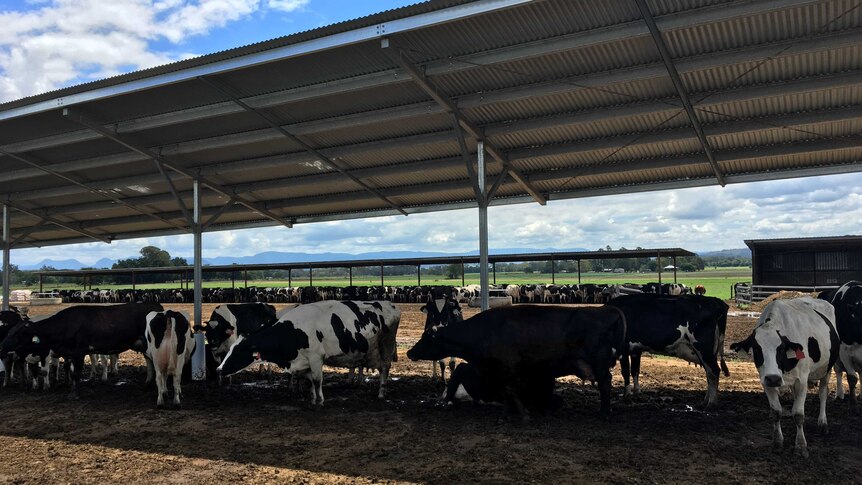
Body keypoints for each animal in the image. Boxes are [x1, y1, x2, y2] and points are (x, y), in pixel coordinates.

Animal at [0, 302, 162, 394]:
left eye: (19, 334)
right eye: (10, 331)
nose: (2, 345)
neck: (65, 325)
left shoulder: (78, 353)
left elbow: (76, 373)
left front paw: (74, 393)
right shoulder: (69, 354)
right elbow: (71, 372)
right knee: (150, 362)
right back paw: (148, 383)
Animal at [219, 300, 402, 402]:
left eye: (238, 352)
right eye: (230, 350)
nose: (219, 369)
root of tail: (389, 304)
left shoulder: (315, 358)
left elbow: (316, 380)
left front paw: (320, 401)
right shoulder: (304, 360)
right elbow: (308, 381)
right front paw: (313, 398)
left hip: (386, 347)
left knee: (384, 369)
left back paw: (381, 393)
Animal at [404, 304, 628, 418]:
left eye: (426, 338)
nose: (409, 352)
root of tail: (605, 310)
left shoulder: (507, 368)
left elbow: (509, 389)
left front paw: (522, 414)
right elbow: (505, 391)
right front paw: (508, 412)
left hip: (599, 363)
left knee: (605, 383)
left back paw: (604, 412)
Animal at [732, 294, 840, 458]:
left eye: (781, 348)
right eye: (756, 349)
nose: (774, 378)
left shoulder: (802, 381)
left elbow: (799, 414)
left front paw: (801, 446)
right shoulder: (766, 382)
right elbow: (776, 412)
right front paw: (777, 443)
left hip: (826, 369)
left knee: (823, 393)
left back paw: (823, 422)